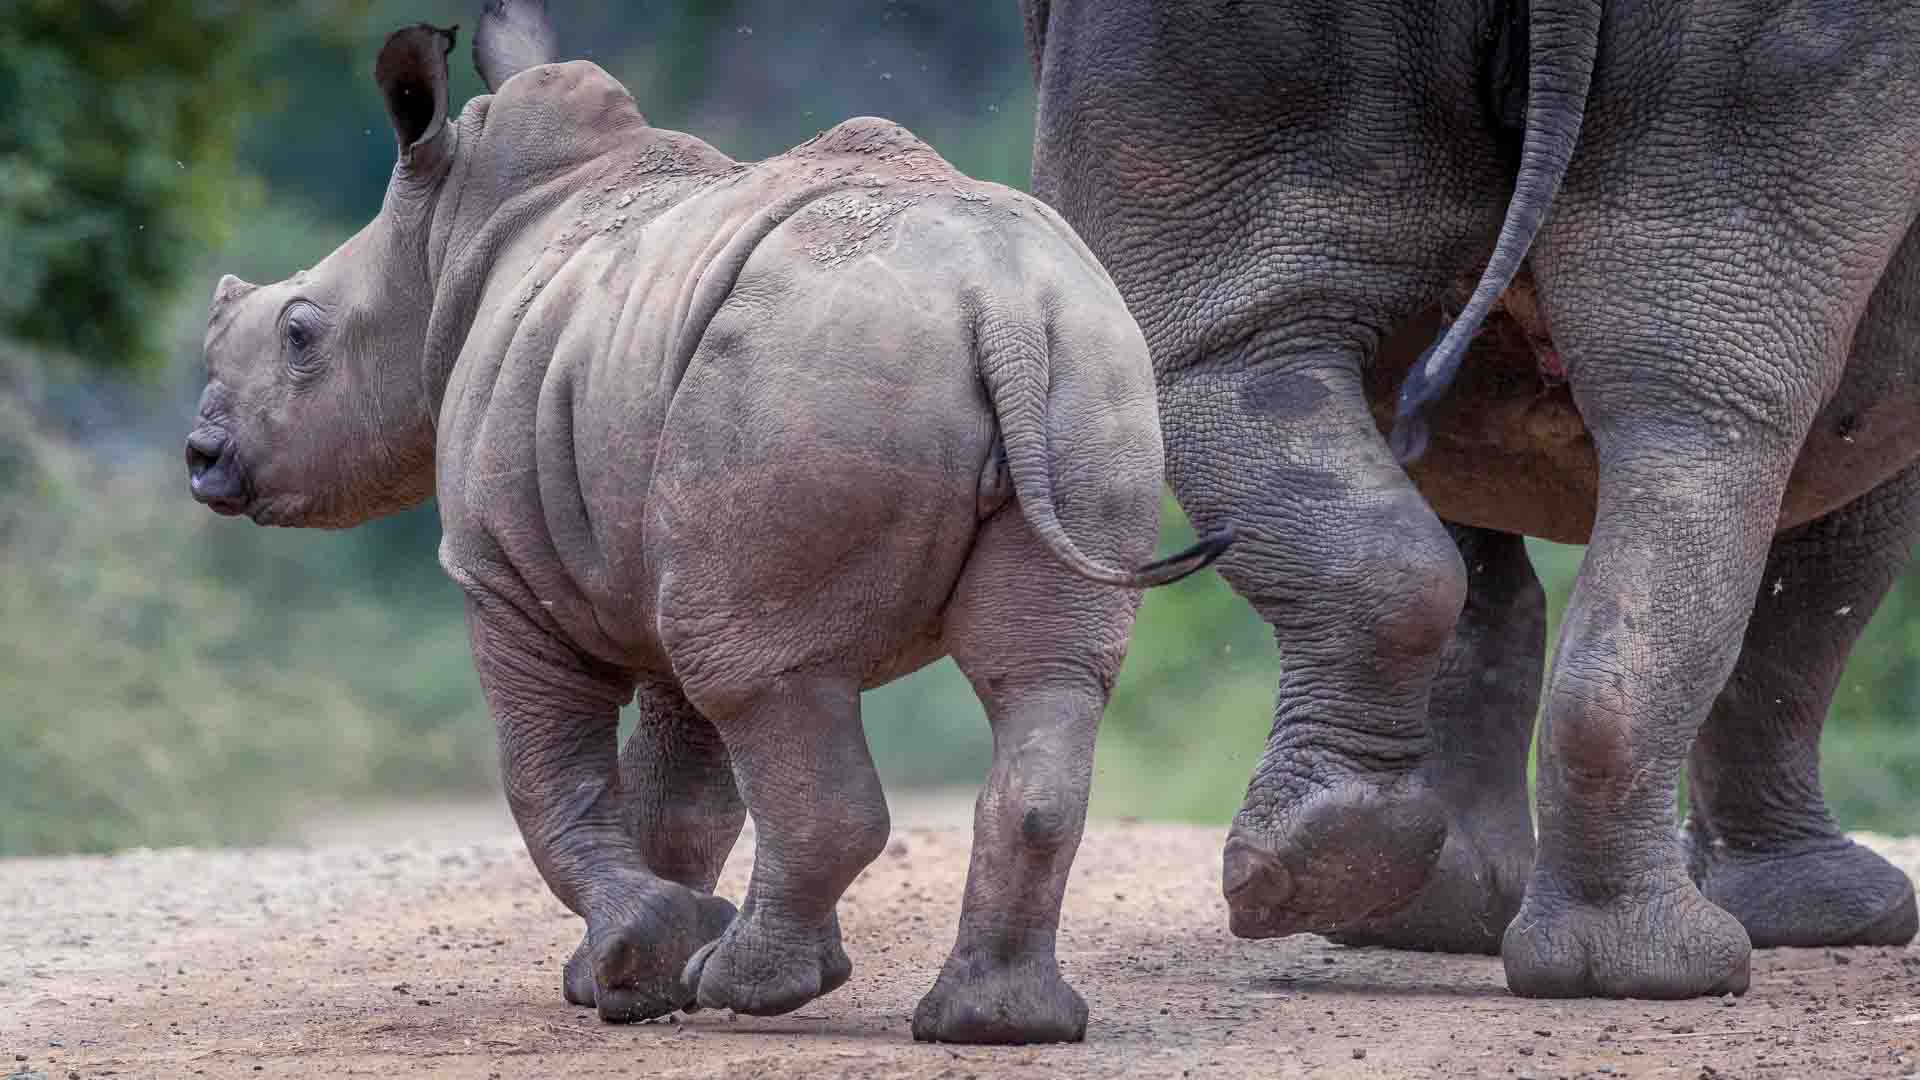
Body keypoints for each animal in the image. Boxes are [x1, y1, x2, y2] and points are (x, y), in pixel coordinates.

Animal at [186, 2, 1226, 1044]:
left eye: (299, 335)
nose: (201, 456)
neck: (445, 236)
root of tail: (1001, 303)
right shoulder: (646, 545)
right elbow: (679, 790)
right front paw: (627, 979)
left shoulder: (504, 574)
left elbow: (550, 770)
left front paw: (637, 966)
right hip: (1086, 374)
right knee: (1040, 674)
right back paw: (997, 1024)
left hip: (801, 378)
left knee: (764, 679)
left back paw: (749, 990)